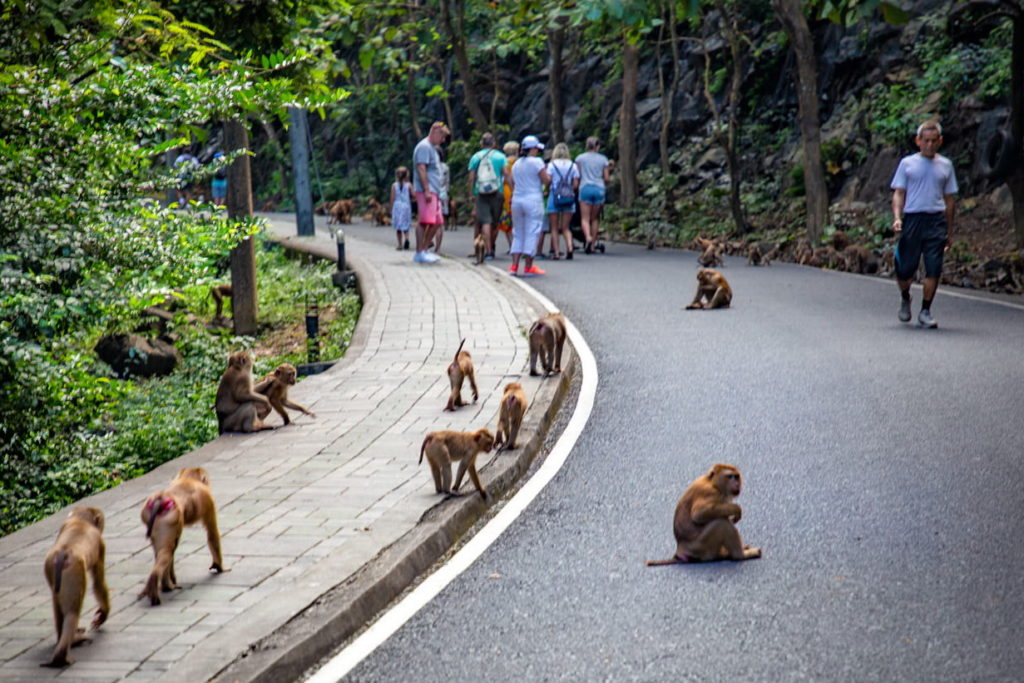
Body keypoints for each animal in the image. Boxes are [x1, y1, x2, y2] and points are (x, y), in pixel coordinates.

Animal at [41, 507, 109, 667]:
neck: (80, 521)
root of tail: (63, 553)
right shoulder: (100, 544)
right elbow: (98, 582)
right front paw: (104, 613)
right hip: (75, 572)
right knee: (73, 610)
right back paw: (68, 647)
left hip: (50, 567)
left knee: (58, 605)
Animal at [137, 466, 227, 606]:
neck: (188, 478)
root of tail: (160, 498)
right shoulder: (208, 500)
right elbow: (212, 533)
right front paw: (219, 566)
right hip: (169, 519)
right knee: (167, 551)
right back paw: (164, 585)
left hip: (149, 515)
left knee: (163, 551)